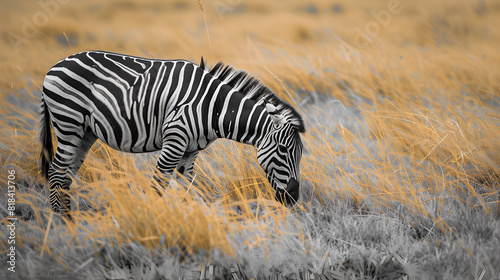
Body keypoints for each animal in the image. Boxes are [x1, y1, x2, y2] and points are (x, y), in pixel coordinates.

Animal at [40, 51, 304, 220]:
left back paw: (71, 223)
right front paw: (153, 224)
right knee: (56, 173)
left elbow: (192, 189)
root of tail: (53, 67)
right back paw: (61, 226)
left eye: (300, 155)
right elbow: (157, 187)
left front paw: (201, 223)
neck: (214, 108)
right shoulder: (174, 142)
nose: (293, 198)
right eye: (283, 149)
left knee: (66, 177)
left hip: (84, 133)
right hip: (69, 124)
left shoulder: (190, 152)